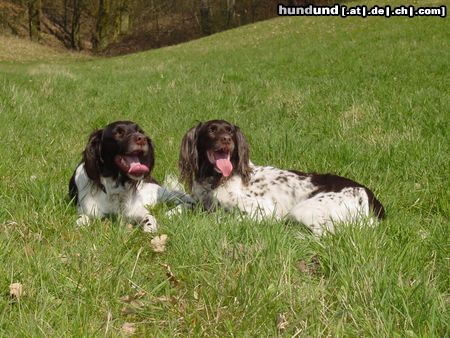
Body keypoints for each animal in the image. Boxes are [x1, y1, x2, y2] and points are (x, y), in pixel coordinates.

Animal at [178, 119, 384, 235]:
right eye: (212, 130)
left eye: (230, 131)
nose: (227, 140)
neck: (215, 180)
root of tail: (370, 197)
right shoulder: (199, 202)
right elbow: (183, 206)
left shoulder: (264, 210)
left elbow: (223, 218)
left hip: (304, 209)